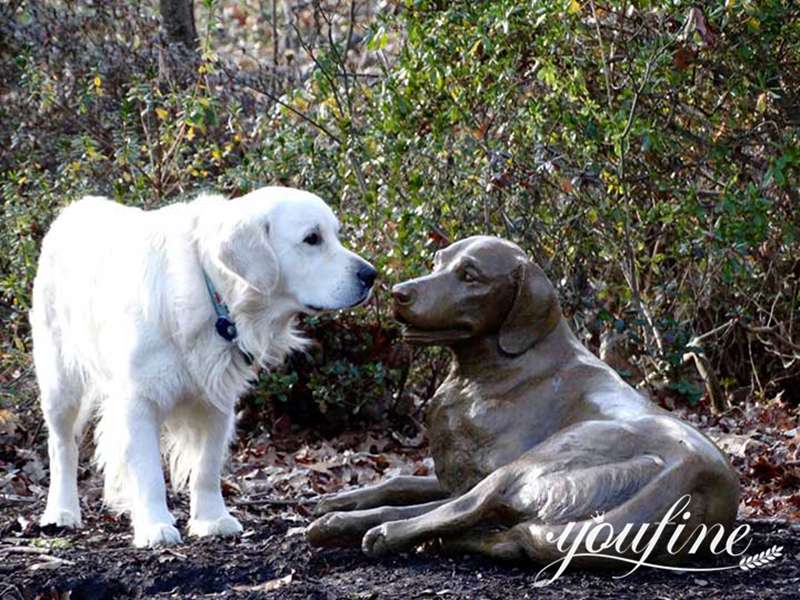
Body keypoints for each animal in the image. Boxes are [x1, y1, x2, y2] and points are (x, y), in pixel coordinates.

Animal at [32, 188, 376, 548]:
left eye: (335, 234)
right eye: (312, 238)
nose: (371, 275)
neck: (216, 293)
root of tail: (74, 209)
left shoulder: (217, 401)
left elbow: (207, 468)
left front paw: (212, 519)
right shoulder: (138, 402)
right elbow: (149, 472)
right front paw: (155, 525)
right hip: (60, 383)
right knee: (62, 447)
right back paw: (62, 511)